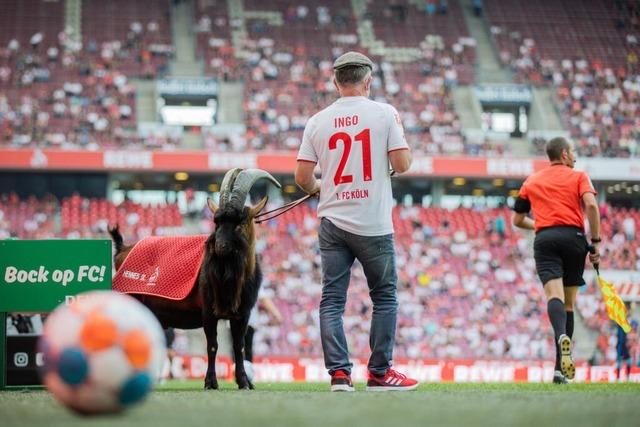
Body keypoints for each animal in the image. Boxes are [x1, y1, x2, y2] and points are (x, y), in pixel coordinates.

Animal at [110, 168, 280, 392]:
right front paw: (211, 382)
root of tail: (122, 249)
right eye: (216, 222)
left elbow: (239, 347)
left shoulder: (243, 314)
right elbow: (213, 346)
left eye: (240, 222)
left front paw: (244, 382)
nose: (220, 246)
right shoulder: (208, 310)